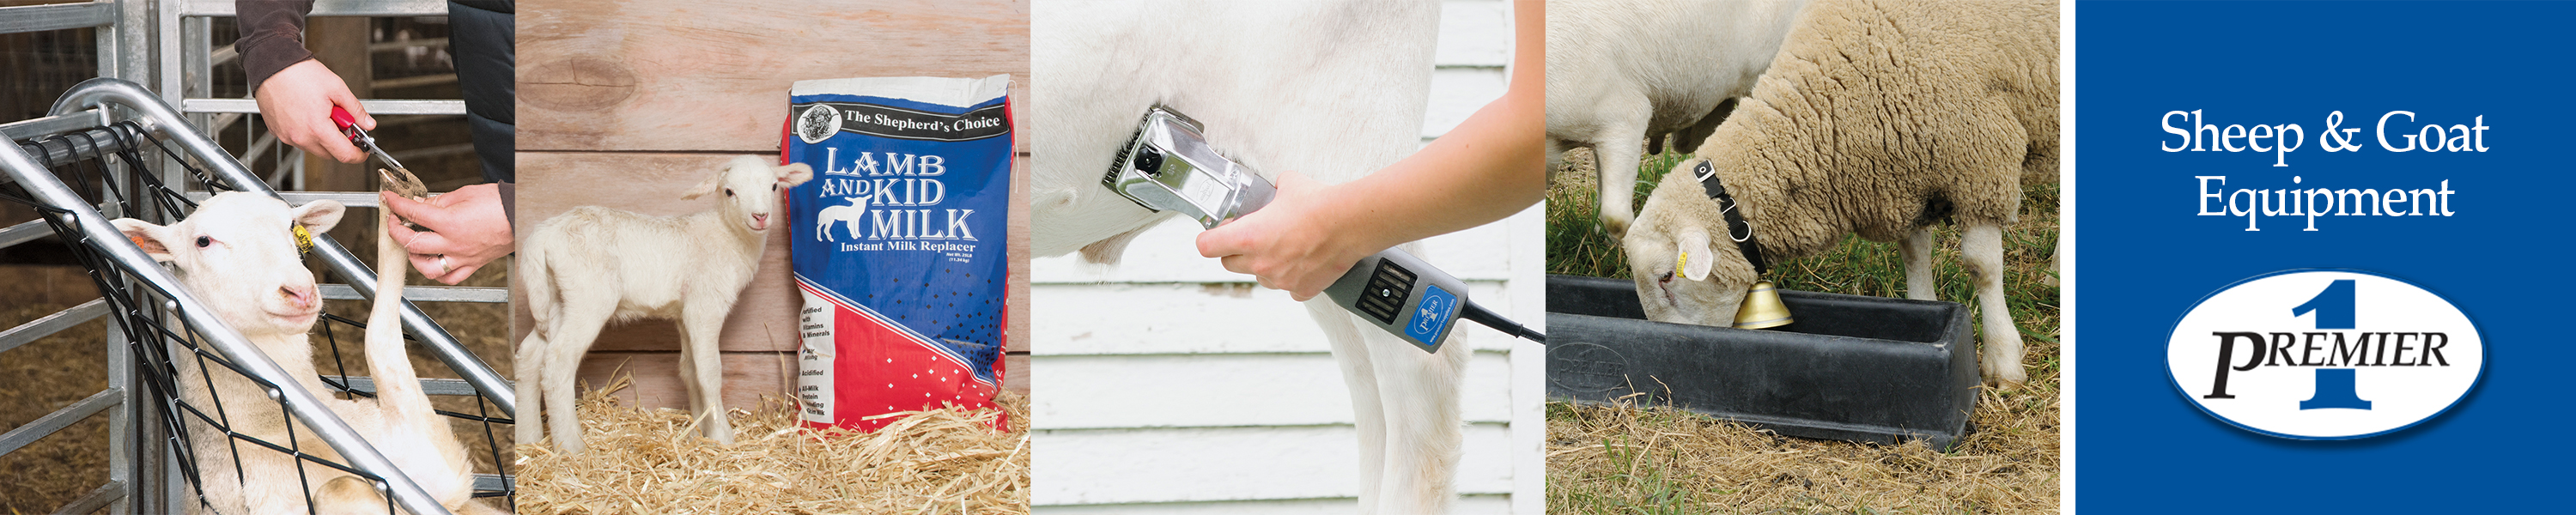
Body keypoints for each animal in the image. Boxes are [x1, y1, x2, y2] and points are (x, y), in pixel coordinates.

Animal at [111, 185, 497, 514]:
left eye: (292, 226)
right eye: (203, 241)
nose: (300, 291)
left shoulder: (429, 454)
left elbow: (382, 332)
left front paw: (395, 205)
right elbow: (337, 488)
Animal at [516, 155, 814, 454]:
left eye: (774, 186)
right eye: (729, 192)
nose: (760, 217)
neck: (728, 236)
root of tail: (542, 236)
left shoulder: (684, 313)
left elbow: (690, 369)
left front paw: (698, 433)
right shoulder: (705, 305)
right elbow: (709, 372)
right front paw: (722, 436)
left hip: (556, 297)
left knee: (530, 356)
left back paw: (528, 437)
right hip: (589, 294)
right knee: (558, 361)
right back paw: (571, 446)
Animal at [1621, 0, 2057, 386]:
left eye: (1666, 278)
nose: (1670, 352)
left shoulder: (1981, 161)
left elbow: (1982, 268)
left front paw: (2004, 363)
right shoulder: (1905, 176)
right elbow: (1914, 255)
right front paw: (1926, 307)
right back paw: (2055, 276)